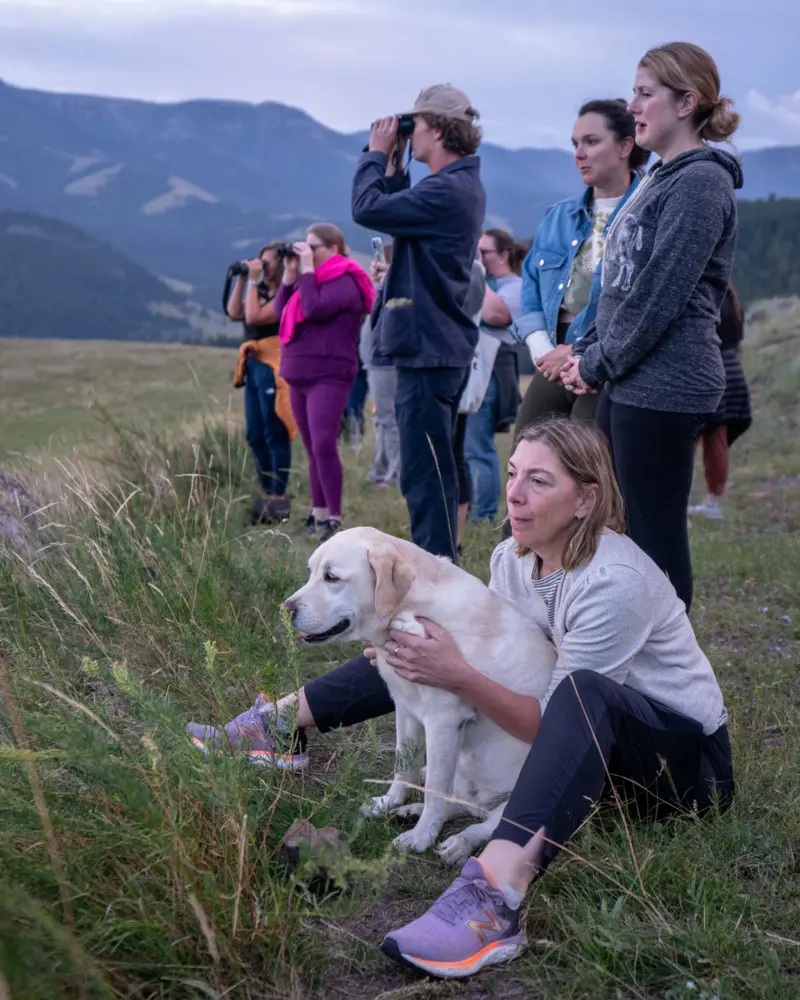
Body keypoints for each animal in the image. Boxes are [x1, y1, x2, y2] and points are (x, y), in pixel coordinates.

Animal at [282, 528, 556, 864]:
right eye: (311, 572)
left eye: (331, 577)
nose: (287, 608)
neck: (410, 609)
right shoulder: (405, 709)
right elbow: (404, 768)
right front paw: (390, 802)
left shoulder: (443, 722)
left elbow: (435, 790)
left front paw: (421, 838)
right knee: (459, 805)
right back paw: (411, 811)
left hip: (512, 802)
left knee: (482, 825)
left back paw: (457, 843)